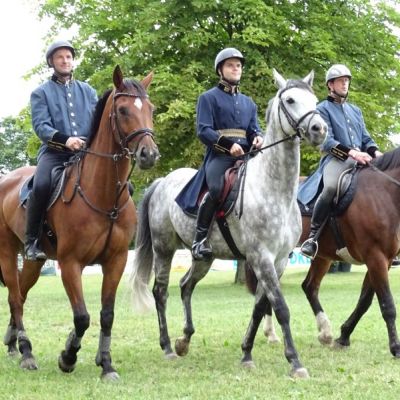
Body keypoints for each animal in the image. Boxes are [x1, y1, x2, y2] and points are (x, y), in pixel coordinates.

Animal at [0, 65, 159, 380]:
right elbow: (82, 316)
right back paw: (26, 352)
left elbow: (106, 315)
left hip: (34, 262)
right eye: (123, 110)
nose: (149, 154)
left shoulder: (116, 260)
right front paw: (68, 356)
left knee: (20, 295)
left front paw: (106, 363)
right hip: (7, 253)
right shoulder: (70, 263)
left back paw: (13, 343)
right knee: (14, 297)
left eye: (151, 109)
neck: (103, 195)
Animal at [129, 69, 327, 378]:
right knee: (160, 292)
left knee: (186, 285)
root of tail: (162, 181)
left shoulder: (279, 260)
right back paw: (168, 347)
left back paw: (184, 340)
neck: (274, 190)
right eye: (291, 100)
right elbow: (280, 308)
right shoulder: (261, 258)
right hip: (164, 248)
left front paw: (246, 353)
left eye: (315, 100)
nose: (320, 129)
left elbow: (260, 308)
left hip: (204, 258)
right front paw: (295, 362)